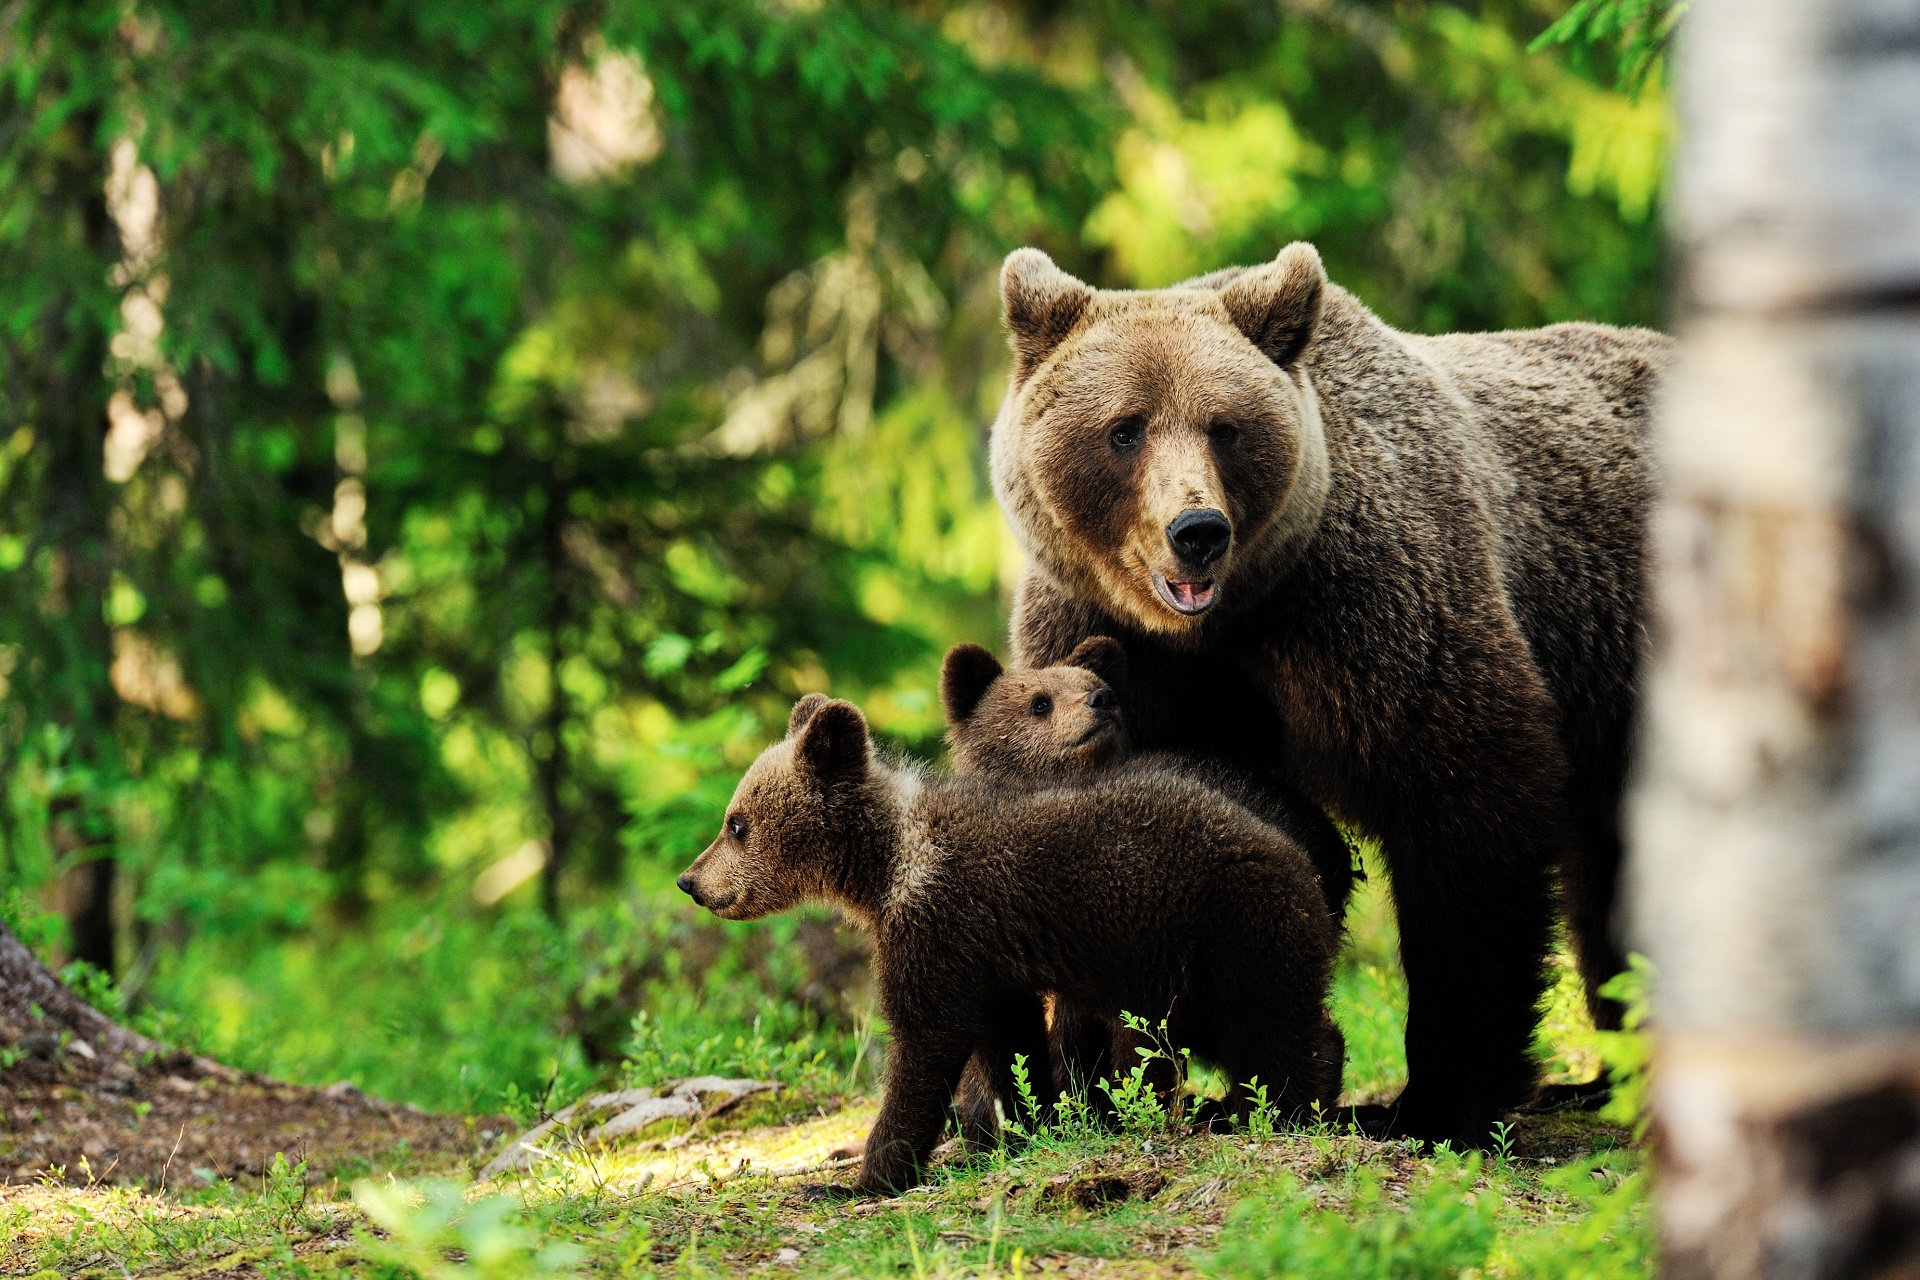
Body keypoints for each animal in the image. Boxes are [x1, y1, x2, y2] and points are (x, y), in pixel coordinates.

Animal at [998, 242, 1674, 1151]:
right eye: (1125, 428)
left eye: (1225, 426)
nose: (1197, 531)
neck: (1225, 623)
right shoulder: (1107, 645)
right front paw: (1093, 1082)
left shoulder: (1374, 607)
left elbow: (1464, 813)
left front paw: (1435, 1101)